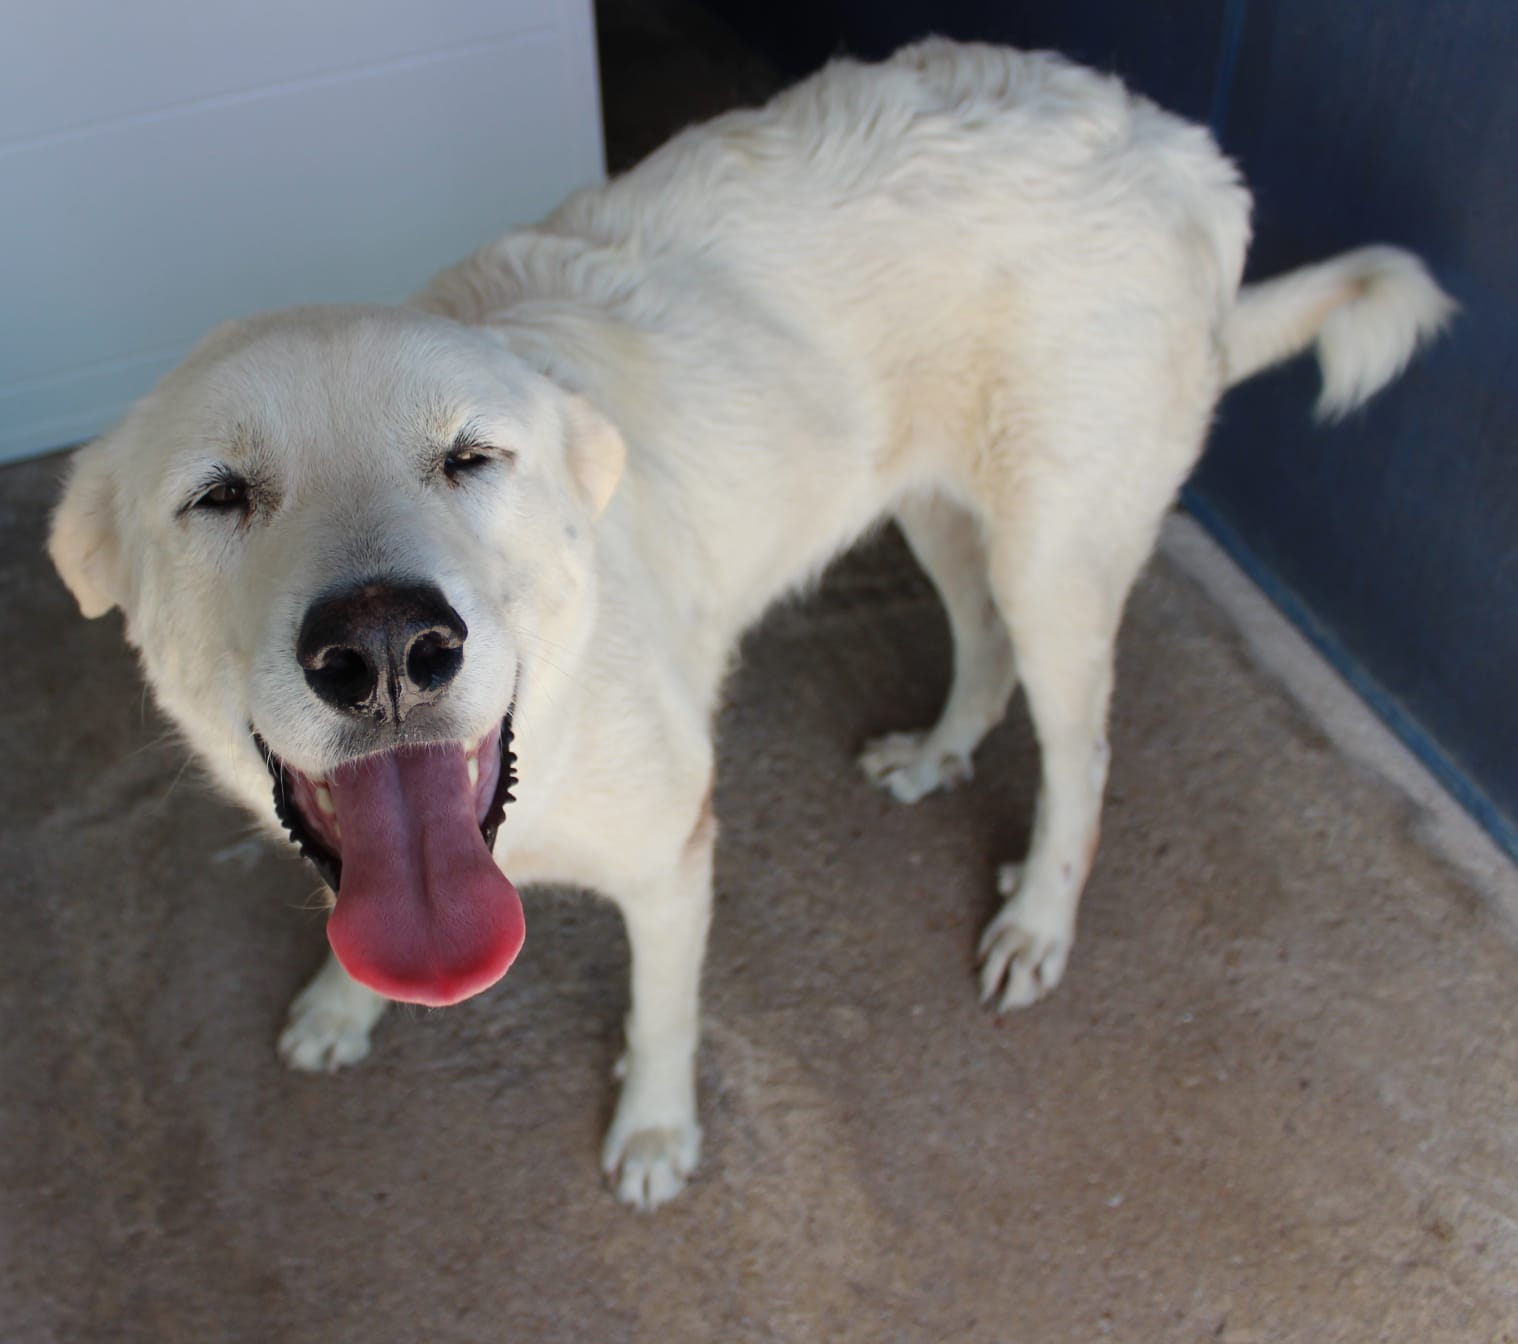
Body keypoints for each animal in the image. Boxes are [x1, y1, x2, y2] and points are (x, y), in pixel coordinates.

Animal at [48, 39, 1452, 1209]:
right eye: (220, 495)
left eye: (472, 458)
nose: (388, 649)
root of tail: (1177, 146)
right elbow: (351, 917)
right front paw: (345, 1004)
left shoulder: (676, 853)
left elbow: (663, 1015)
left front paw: (657, 1136)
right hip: (932, 508)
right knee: (983, 646)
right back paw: (939, 752)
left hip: (1054, 556)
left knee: (1082, 753)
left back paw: (1039, 923)